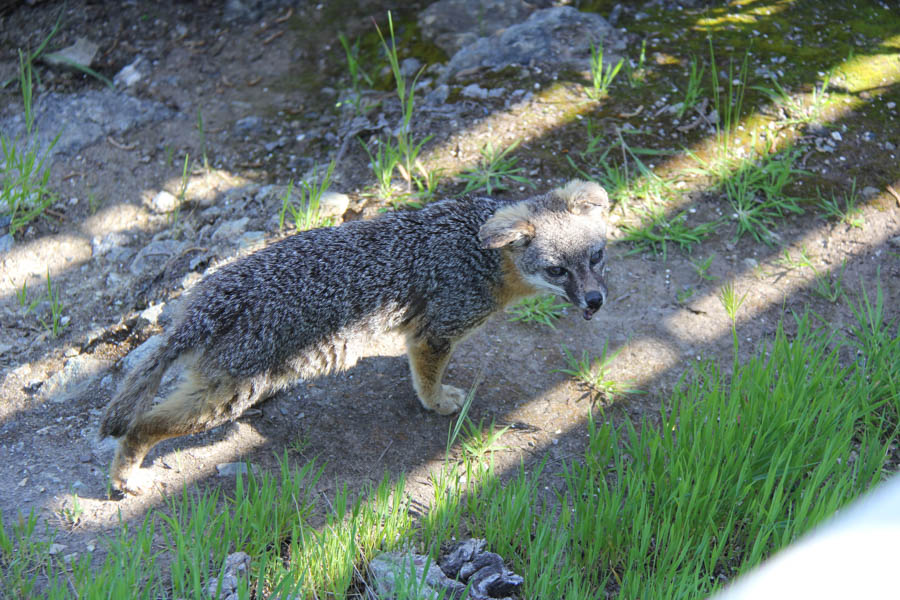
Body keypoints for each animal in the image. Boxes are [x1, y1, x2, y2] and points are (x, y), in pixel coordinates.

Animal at [98, 179, 612, 496]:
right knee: (144, 425)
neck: (480, 252)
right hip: (225, 398)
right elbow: (426, 380)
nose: (595, 300)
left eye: (597, 257)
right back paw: (126, 479)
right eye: (557, 270)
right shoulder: (434, 333)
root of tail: (208, 303)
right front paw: (438, 403)